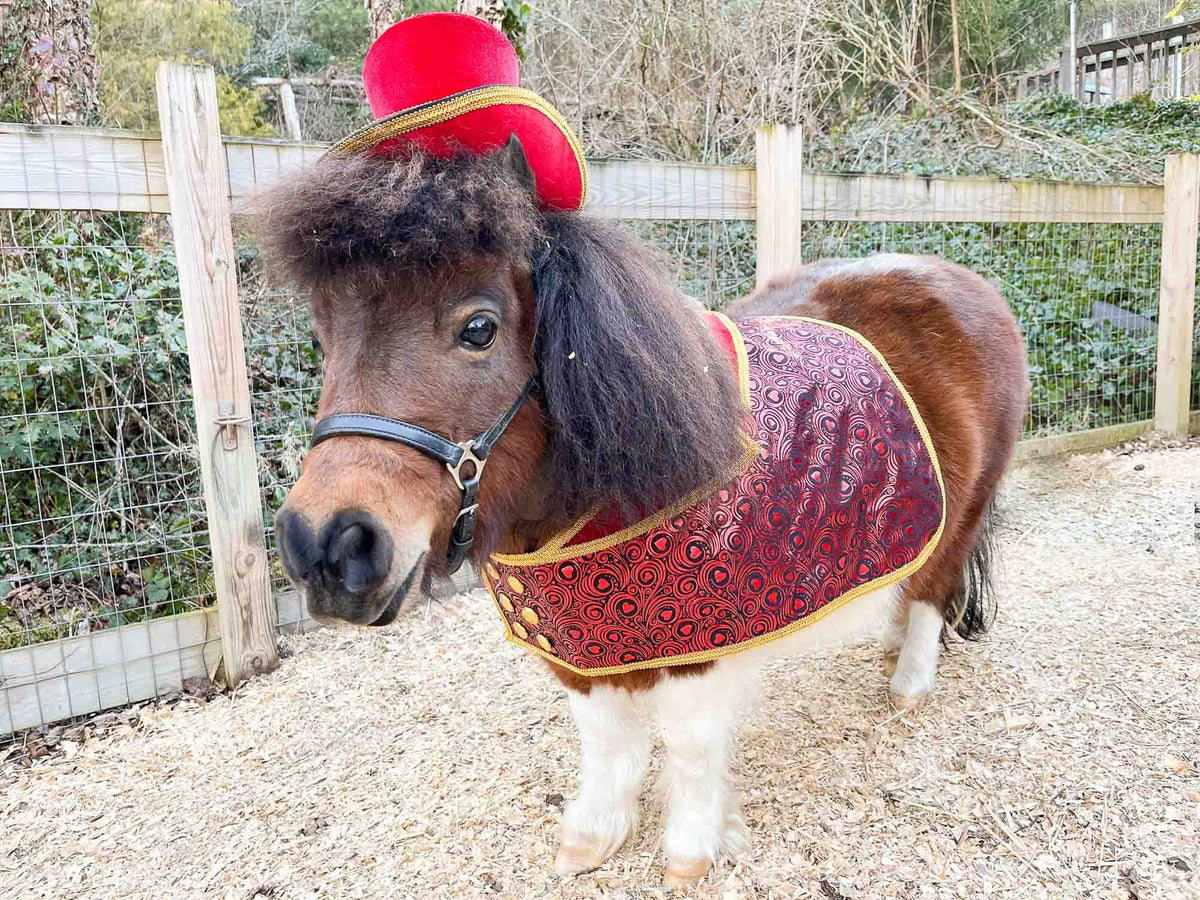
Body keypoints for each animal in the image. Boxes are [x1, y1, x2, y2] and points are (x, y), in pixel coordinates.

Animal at [259, 136, 1029, 887]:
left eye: (478, 327)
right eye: (324, 338)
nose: (325, 545)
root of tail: (959, 279)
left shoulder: (696, 646)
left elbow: (689, 746)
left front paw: (690, 851)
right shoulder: (580, 642)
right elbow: (605, 737)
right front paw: (594, 837)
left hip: (967, 509)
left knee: (933, 591)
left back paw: (908, 685)